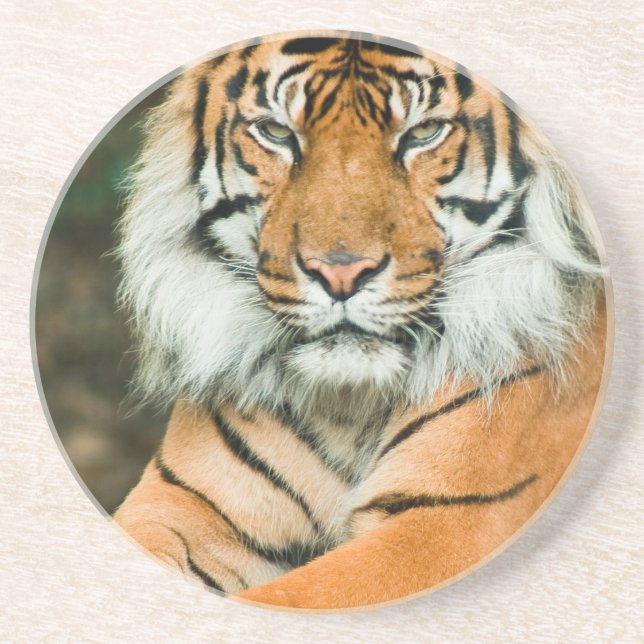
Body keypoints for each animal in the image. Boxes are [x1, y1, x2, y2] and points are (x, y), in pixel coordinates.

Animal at [113, 33, 610, 610]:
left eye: (423, 133)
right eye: (276, 133)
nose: (341, 273)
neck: (349, 406)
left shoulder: (445, 523)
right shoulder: (185, 503)